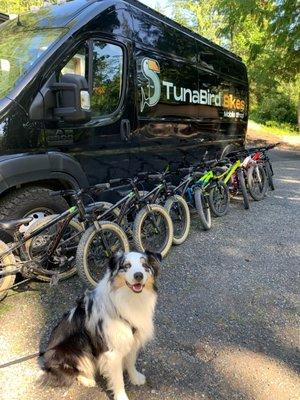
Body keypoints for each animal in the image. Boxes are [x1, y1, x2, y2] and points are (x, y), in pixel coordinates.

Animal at [39, 252, 162, 398]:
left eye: (145, 265)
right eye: (126, 266)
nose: (139, 275)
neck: (130, 299)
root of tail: (47, 364)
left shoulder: (131, 339)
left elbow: (131, 362)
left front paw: (135, 378)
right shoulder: (112, 351)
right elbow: (118, 379)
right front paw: (121, 397)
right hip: (76, 349)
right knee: (75, 371)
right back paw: (87, 379)